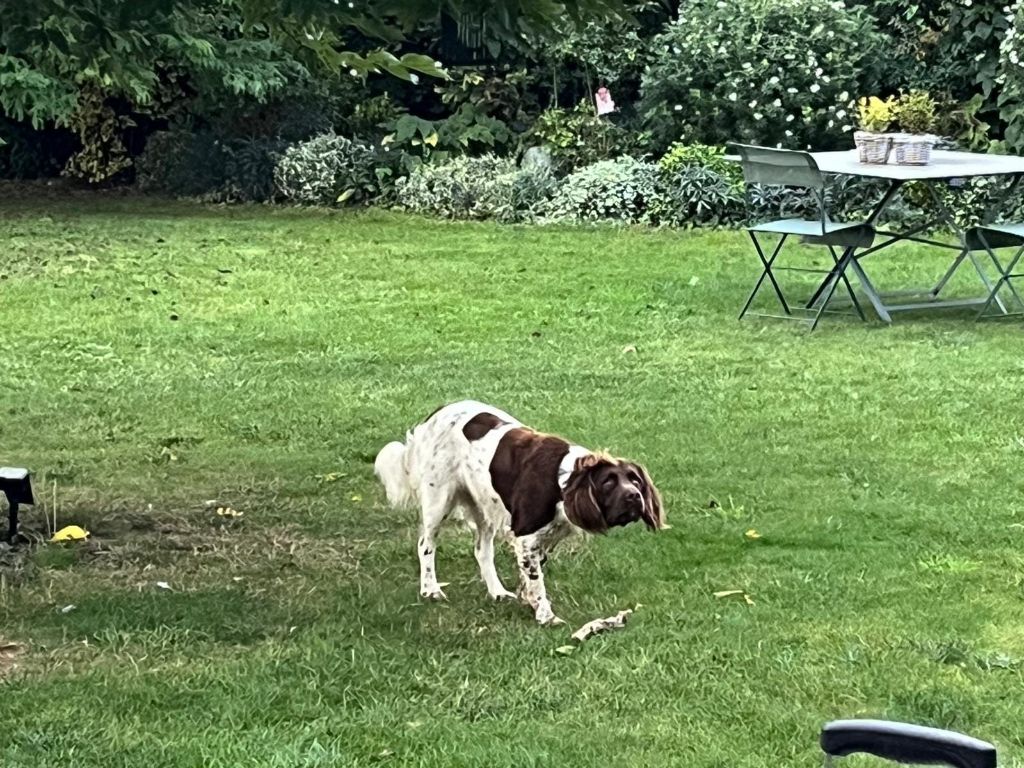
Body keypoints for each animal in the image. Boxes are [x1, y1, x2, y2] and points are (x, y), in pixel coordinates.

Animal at [376, 403, 663, 626]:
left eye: (635, 481)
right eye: (608, 482)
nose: (634, 497)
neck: (562, 481)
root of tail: (432, 417)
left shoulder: (541, 538)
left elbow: (530, 576)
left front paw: (528, 601)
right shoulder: (526, 537)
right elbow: (537, 581)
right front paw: (546, 616)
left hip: (485, 506)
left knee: (481, 551)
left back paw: (497, 592)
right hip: (439, 499)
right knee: (425, 545)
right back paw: (430, 589)